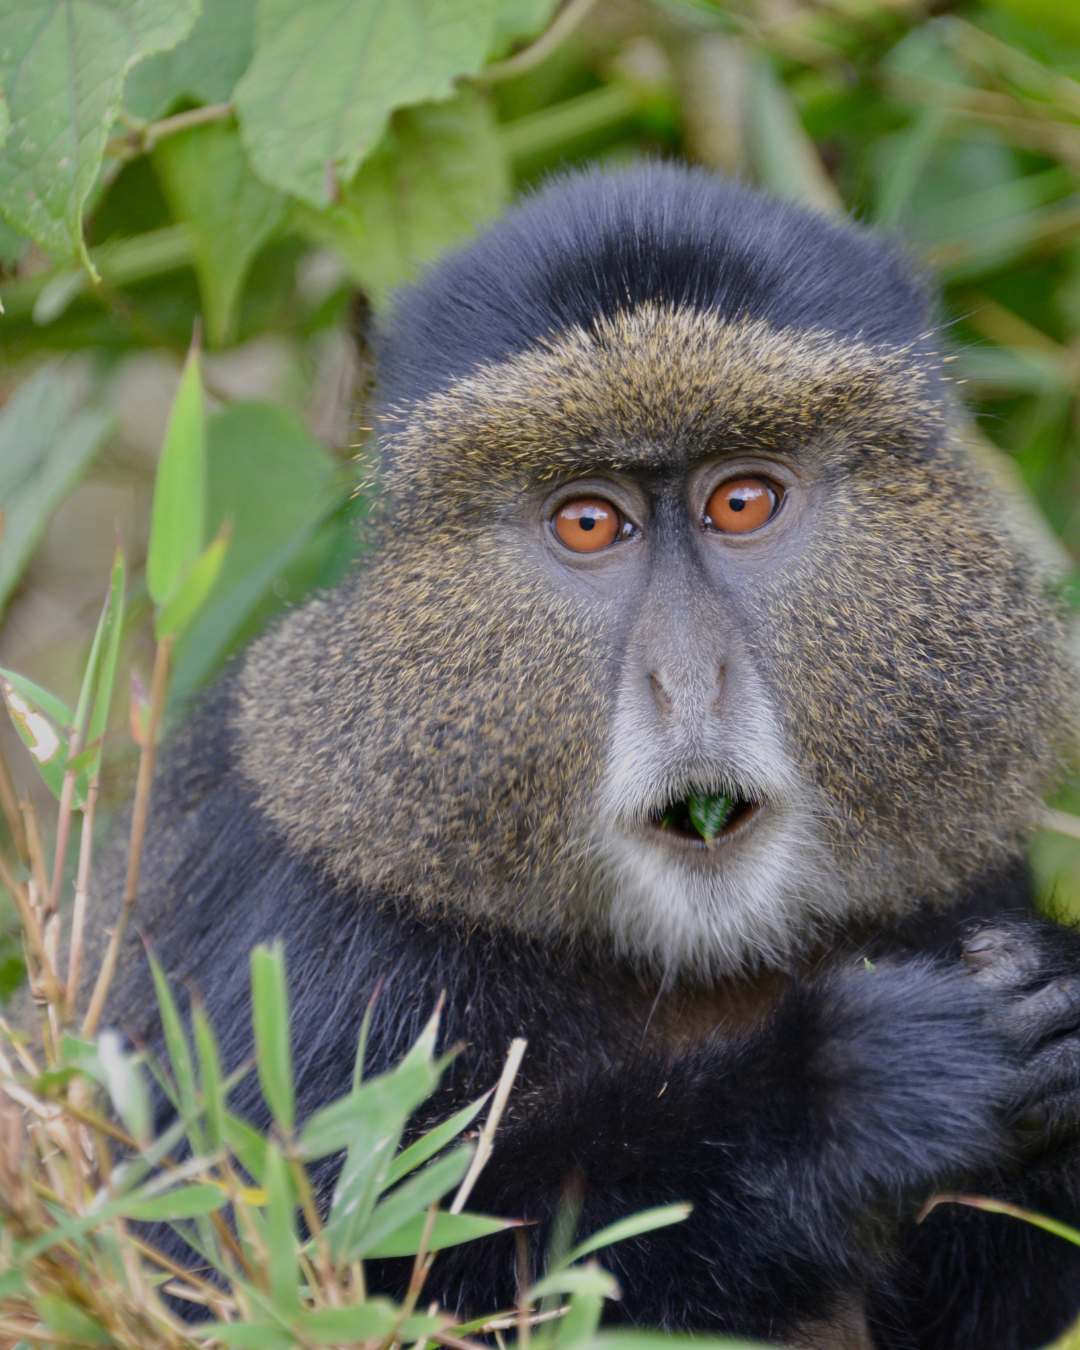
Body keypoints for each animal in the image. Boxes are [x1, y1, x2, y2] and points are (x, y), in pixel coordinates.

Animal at [77, 161, 1080, 1349]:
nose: (687, 681)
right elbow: (272, 1275)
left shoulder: (962, 874)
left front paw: (1057, 1015)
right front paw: (841, 1093)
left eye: (743, 500)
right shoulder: (313, 941)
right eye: (590, 523)